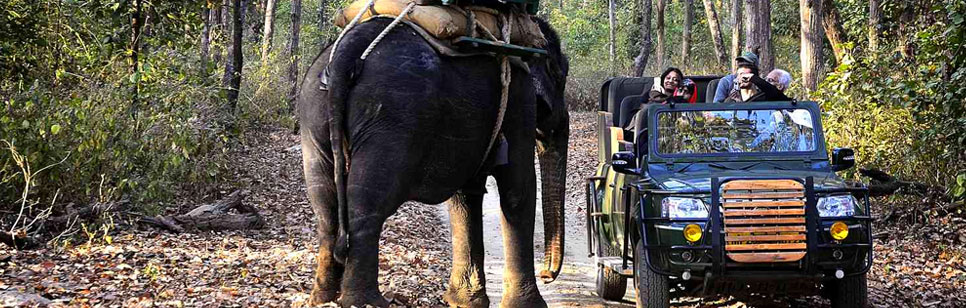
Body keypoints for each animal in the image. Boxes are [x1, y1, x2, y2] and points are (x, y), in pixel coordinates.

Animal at [298, 15, 572, 308]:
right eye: (561, 76)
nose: (547, 275)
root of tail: (348, 50)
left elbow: (466, 195)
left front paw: (464, 301)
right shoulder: (520, 99)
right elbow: (518, 188)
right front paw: (527, 306)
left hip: (314, 116)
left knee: (325, 206)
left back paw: (321, 297)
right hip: (392, 119)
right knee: (367, 204)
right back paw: (366, 301)